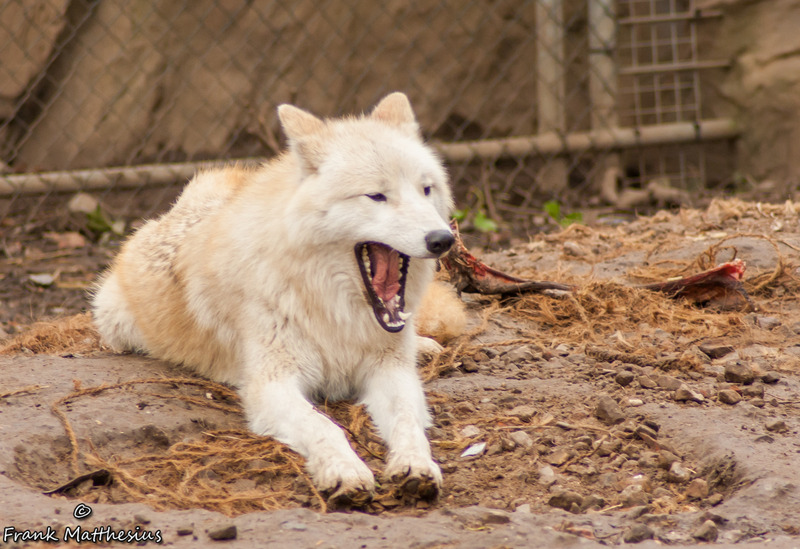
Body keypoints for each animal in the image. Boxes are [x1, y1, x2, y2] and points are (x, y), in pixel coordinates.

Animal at [92, 93, 455, 505]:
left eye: (426, 190)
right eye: (376, 195)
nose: (442, 239)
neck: (334, 310)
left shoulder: (391, 370)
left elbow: (409, 421)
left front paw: (416, 465)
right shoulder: (272, 383)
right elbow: (323, 426)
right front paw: (344, 471)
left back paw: (424, 346)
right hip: (117, 321)